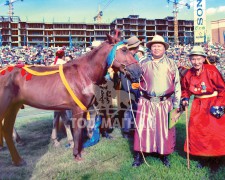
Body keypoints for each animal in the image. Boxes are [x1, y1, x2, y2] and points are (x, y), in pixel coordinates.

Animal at [0, 31, 142, 166]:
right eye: (124, 50)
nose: (138, 71)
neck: (83, 74)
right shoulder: (77, 108)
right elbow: (77, 130)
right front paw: (76, 155)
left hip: (13, 107)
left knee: (7, 129)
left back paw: (18, 160)